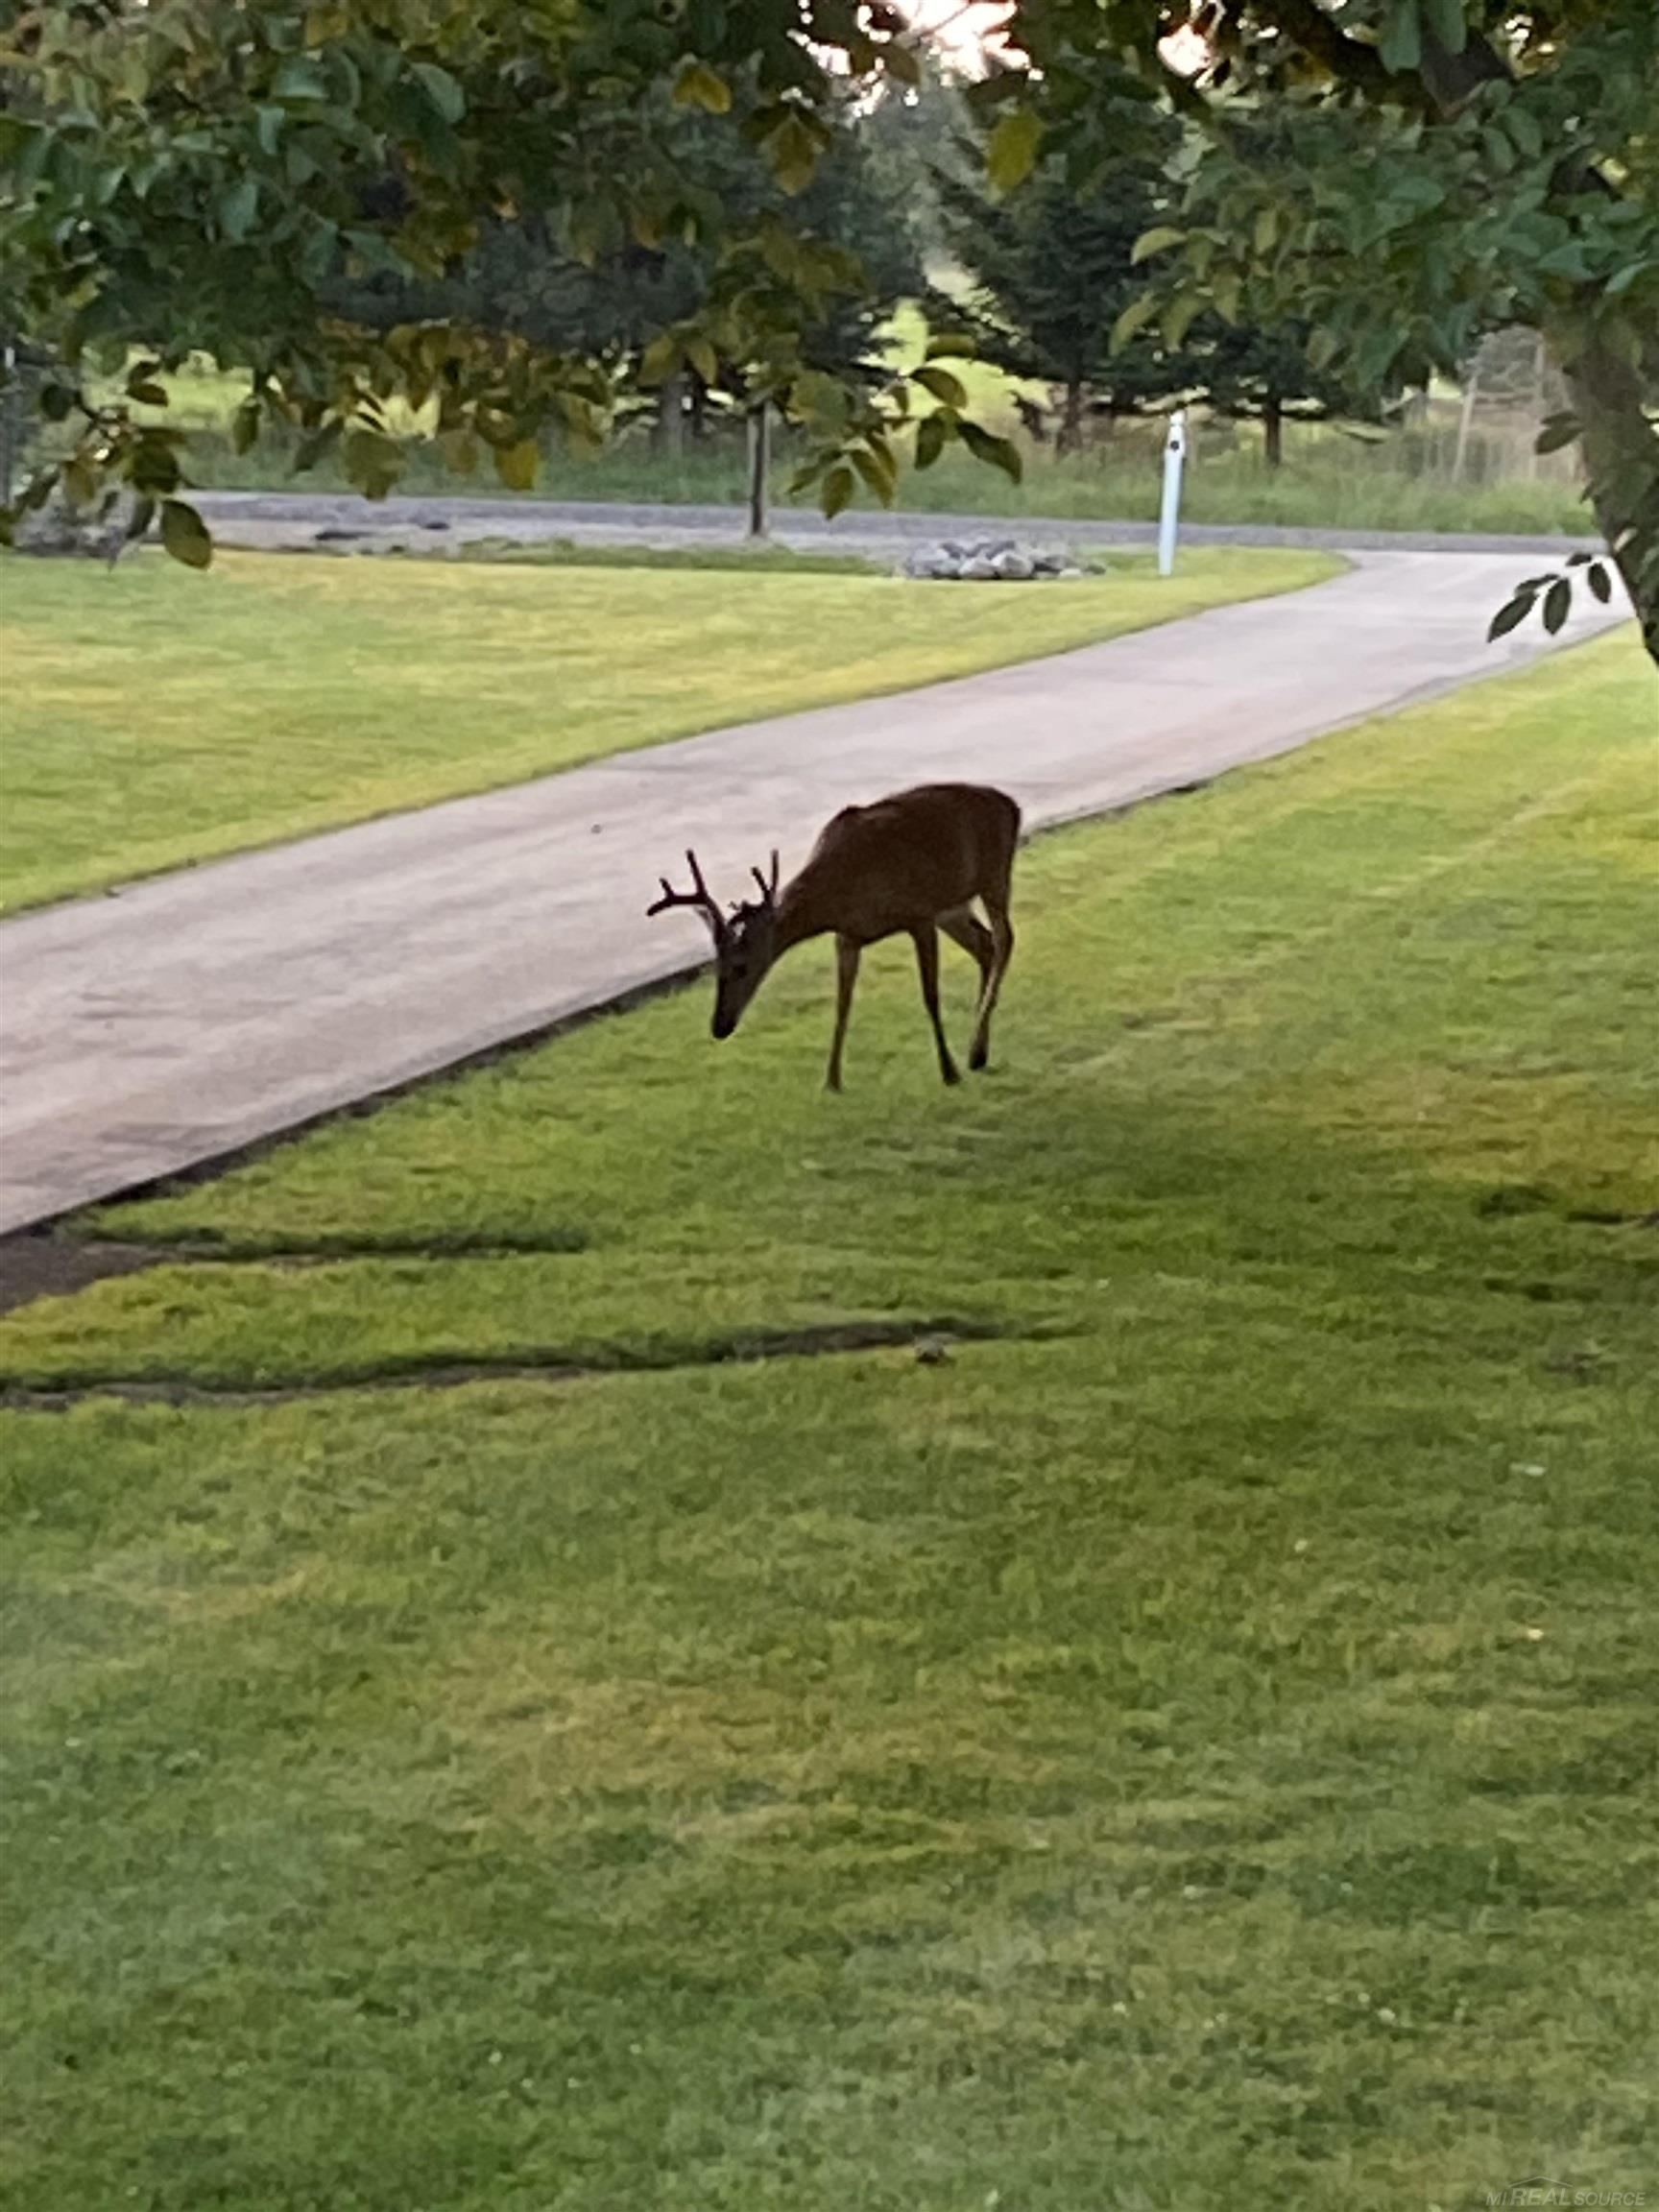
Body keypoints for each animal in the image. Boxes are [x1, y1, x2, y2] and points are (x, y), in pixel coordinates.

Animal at [646, 782, 1020, 1090]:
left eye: (741, 966)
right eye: (715, 969)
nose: (719, 1026)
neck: (840, 889)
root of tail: (1011, 804)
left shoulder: (919, 914)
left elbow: (930, 996)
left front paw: (948, 1072)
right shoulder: (847, 936)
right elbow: (842, 1004)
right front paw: (831, 1080)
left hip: (993, 875)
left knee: (1004, 940)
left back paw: (973, 1050)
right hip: (953, 908)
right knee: (985, 945)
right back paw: (977, 1051)